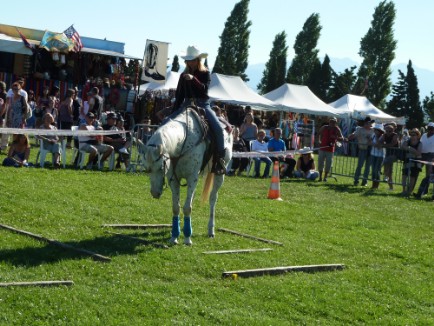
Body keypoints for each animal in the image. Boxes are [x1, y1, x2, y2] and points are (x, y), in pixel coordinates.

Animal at [144, 107, 232, 244]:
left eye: (161, 168)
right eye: (147, 169)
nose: (155, 193)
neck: (182, 143)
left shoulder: (192, 178)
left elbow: (187, 208)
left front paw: (187, 238)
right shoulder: (174, 179)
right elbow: (176, 207)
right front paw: (174, 236)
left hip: (219, 174)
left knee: (213, 199)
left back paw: (210, 230)